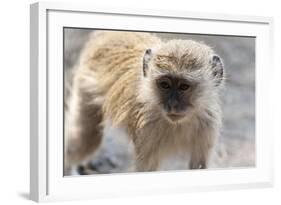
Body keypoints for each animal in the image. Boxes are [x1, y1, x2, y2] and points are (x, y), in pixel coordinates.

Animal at [65, 30, 223, 171]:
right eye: (165, 85)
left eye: (184, 87)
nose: (172, 105)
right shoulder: (146, 128)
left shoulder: (208, 123)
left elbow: (199, 164)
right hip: (85, 86)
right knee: (85, 141)